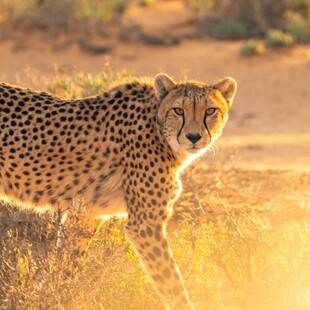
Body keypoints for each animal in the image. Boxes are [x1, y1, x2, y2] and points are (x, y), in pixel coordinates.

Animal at [0, 74, 237, 308]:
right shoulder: (144, 225)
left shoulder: (88, 215)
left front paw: (54, 297)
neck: (159, 129)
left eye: (210, 110)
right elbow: (172, 283)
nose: (194, 137)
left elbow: (64, 266)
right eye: (178, 110)